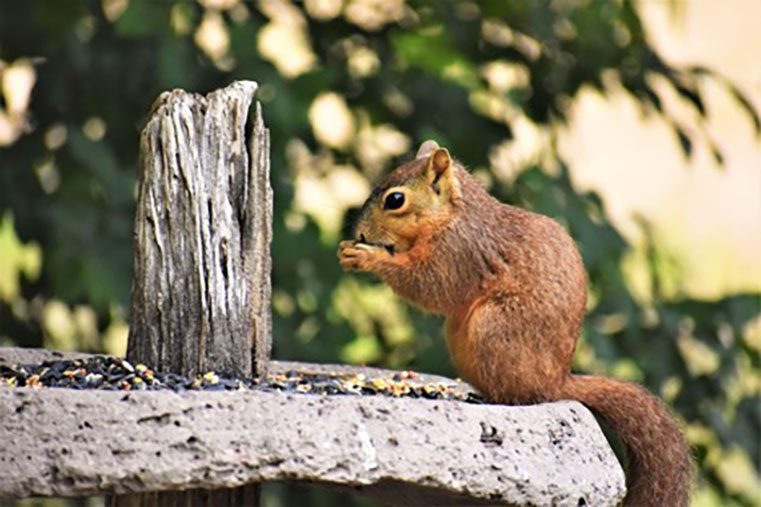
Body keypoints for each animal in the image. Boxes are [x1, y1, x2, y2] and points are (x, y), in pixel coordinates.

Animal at [338, 140, 693, 506]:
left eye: (395, 200)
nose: (359, 233)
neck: (452, 216)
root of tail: (557, 383)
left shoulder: (458, 253)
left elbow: (429, 285)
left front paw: (367, 256)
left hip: (494, 328)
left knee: (520, 396)